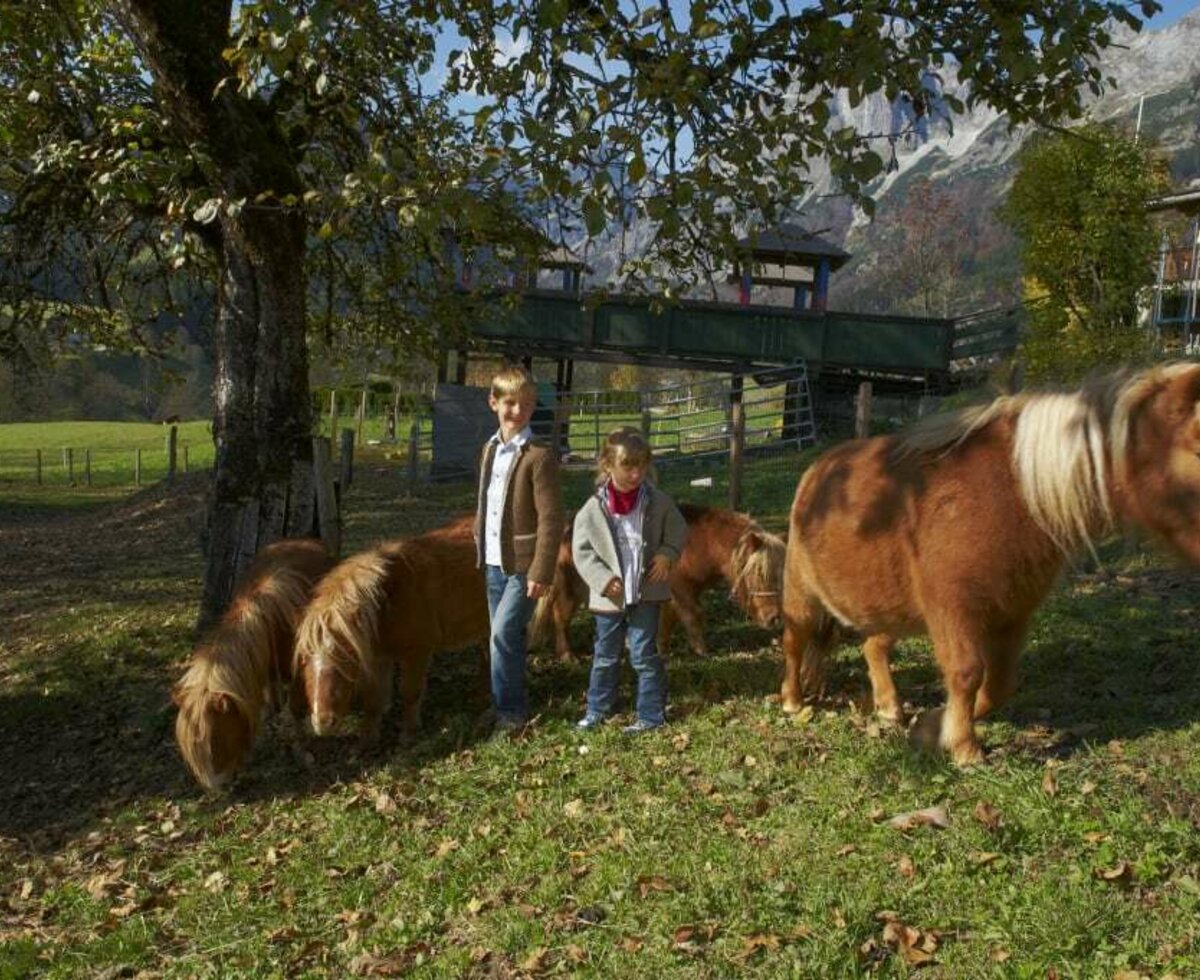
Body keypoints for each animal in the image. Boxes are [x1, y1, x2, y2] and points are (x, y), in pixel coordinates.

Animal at [292, 513, 489, 743]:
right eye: (303, 661)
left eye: (346, 658)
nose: (323, 724)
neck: (389, 602)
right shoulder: (379, 657)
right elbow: (374, 697)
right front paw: (368, 736)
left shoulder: (417, 652)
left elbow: (410, 692)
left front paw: (409, 733)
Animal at [535, 501, 787, 662]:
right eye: (758, 574)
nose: (775, 618)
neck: (699, 544)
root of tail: (566, 527)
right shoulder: (682, 590)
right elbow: (693, 616)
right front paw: (702, 651)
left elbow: (668, 620)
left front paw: (661, 649)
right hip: (570, 588)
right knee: (560, 616)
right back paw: (567, 656)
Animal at [782, 362, 1200, 767]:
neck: (1012, 495)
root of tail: (816, 470)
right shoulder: (953, 609)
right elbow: (967, 673)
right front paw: (964, 748)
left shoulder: (1012, 613)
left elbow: (998, 685)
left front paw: (934, 726)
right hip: (803, 596)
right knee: (794, 642)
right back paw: (793, 701)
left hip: (893, 608)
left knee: (874, 646)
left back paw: (889, 707)